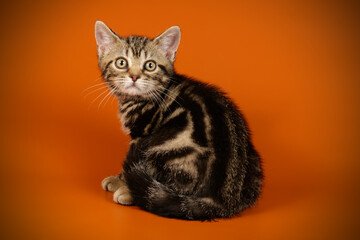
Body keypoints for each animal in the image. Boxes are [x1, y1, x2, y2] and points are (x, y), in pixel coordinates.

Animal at [95, 21, 264, 220]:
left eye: (150, 65)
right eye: (121, 62)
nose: (134, 77)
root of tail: (222, 200)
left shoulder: (140, 136)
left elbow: (130, 163)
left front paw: (121, 183)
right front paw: (117, 180)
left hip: (165, 144)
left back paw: (133, 194)